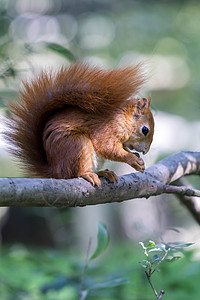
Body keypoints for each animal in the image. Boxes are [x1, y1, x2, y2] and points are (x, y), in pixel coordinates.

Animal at [5, 62, 155, 185]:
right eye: (145, 130)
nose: (145, 151)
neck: (122, 118)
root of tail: (55, 171)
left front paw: (135, 156)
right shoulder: (106, 128)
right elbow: (106, 147)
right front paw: (132, 159)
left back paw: (104, 173)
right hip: (77, 145)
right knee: (75, 173)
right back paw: (88, 174)